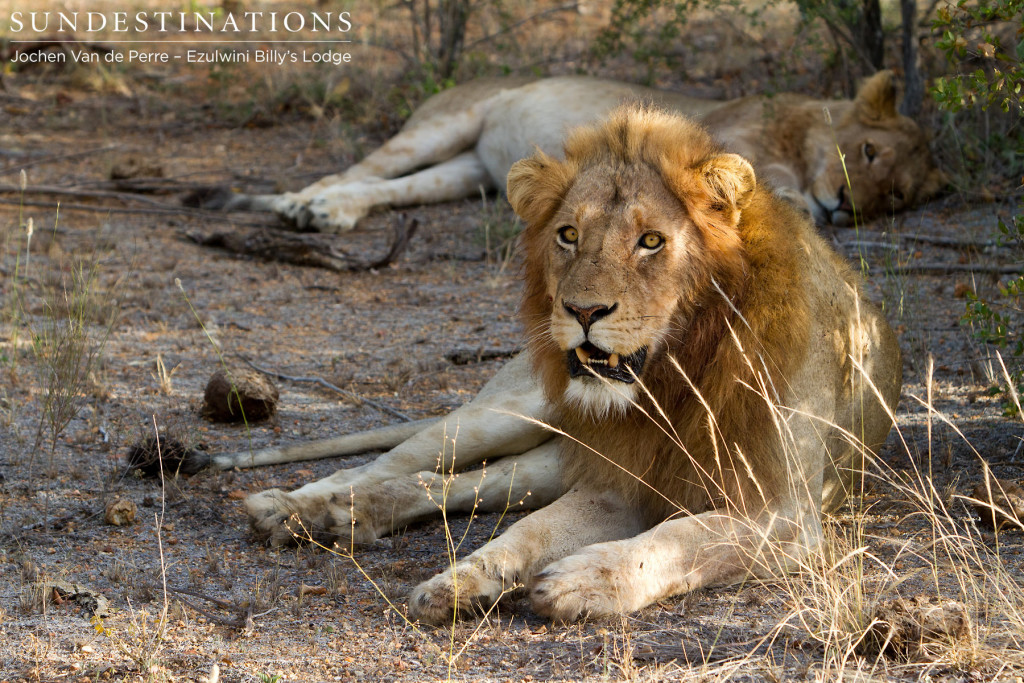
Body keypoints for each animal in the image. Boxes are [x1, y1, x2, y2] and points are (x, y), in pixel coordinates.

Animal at [237, 107, 897, 626]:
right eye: (569, 234)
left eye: (652, 242)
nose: (582, 311)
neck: (676, 377)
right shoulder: (619, 483)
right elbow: (534, 532)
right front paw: (464, 580)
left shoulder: (783, 513)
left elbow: (679, 539)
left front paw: (581, 581)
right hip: (510, 414)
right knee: (395, 465)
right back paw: (298, 509)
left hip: (554, 456)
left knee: (460, 486)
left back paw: (346, 518)